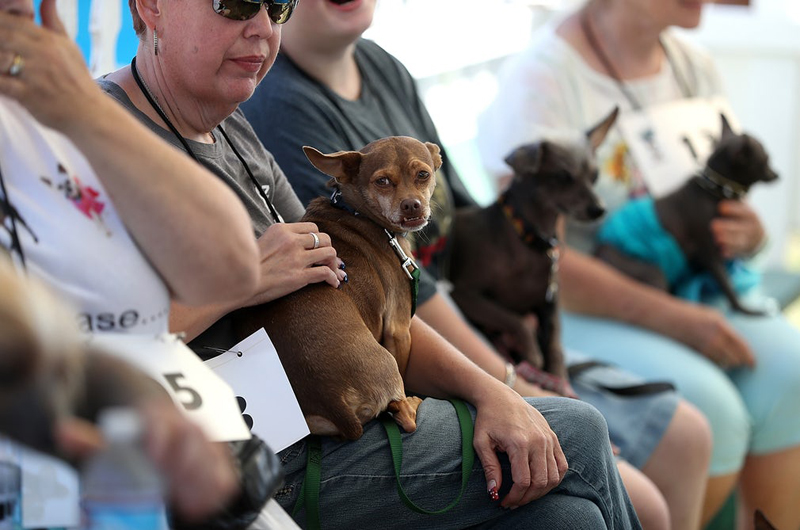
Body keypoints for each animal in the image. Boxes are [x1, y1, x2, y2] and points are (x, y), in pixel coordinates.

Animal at [231, 136, 440, 438]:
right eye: (382, 181)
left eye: (423, 175)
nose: (412, 205)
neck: (356, 210)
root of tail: (333, 402)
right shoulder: (399, 330)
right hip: (386, 363)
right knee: (405, 417)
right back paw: (410, 403)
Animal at [450, 107, 620, 390]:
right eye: (562, 177)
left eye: (595, 176)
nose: (599, 209)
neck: (528, 238)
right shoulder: (465, 295)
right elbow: (516, 320)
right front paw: (532, 353)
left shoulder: (550, 306)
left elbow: (555, 346)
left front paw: (558, 376)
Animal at [596, 114, 780, 314]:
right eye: (766, 160)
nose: (778, 174)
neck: (714, 190)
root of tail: (598, 251)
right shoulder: (710, 256)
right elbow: (728, 288)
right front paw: (746, 310)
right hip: (650, 271)